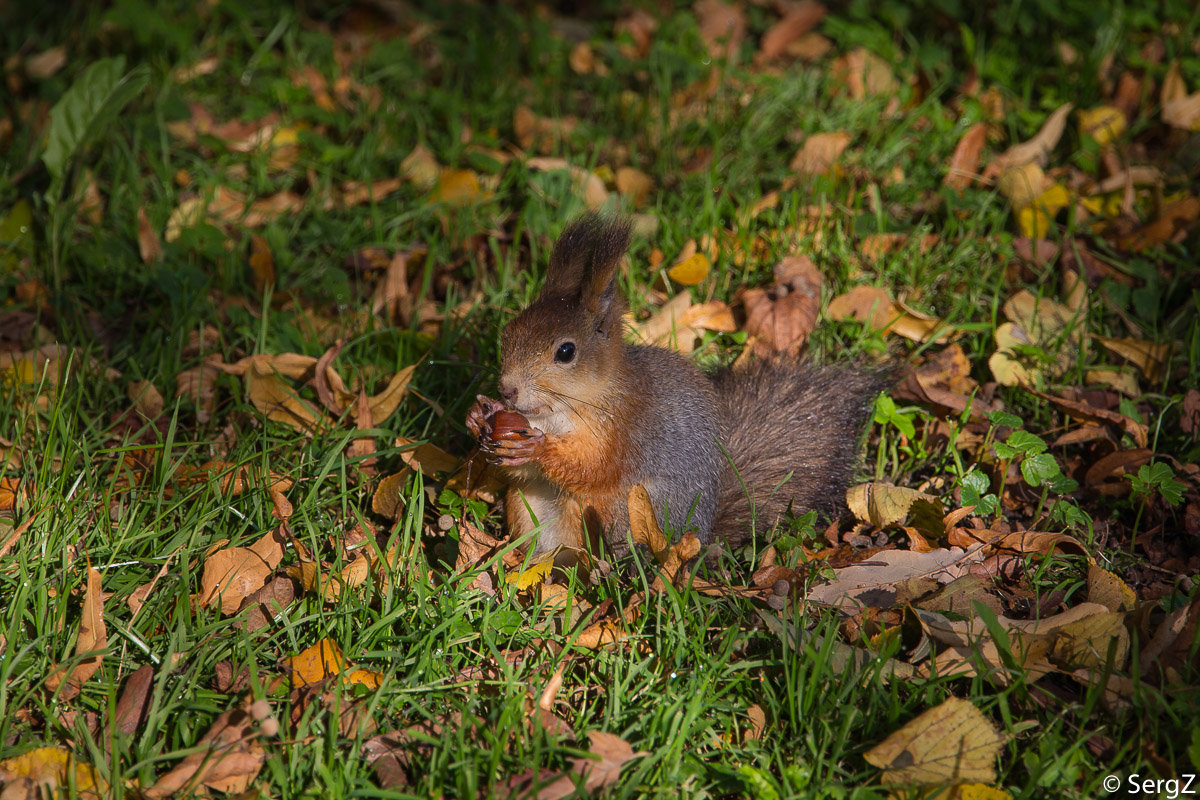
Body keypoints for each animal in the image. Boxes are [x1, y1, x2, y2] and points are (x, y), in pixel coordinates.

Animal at [468, 215, 892, 561]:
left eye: (566, 351)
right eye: (508, 333)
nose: (508, 390)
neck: (561, 410)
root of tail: (698, 538)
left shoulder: (628, 431)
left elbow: (595, 469)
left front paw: (537, 447)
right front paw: (480, 416)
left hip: (623, 514)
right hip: (525, 507)